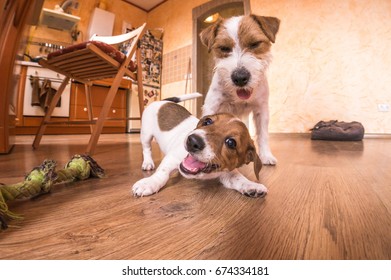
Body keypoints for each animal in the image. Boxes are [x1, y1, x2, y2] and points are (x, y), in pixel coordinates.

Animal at [131, 95, 266, 198]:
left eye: (231, 143)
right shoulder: (172, 158)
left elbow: (238, 178)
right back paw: (148, 163)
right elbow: (162, 173)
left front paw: (251, 185)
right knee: (147, 149)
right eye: (207, 121)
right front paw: (149, 183)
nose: (192, 141)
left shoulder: (226, 173)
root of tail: (162, 101)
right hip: (146, 134)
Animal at [201, 14, 280, 165]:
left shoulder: (261, 110)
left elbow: (262, 134)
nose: (240, 77)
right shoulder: (212, 107)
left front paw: (266, 155)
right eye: (224, 48)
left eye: (255, 44)